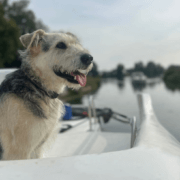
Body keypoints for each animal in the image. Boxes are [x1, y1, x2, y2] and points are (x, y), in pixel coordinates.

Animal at [0, 29, 93, 160]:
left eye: (76, 44)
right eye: (60, 45)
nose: (89, 58)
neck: (37, 85)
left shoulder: (37, 148)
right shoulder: (18, 151)